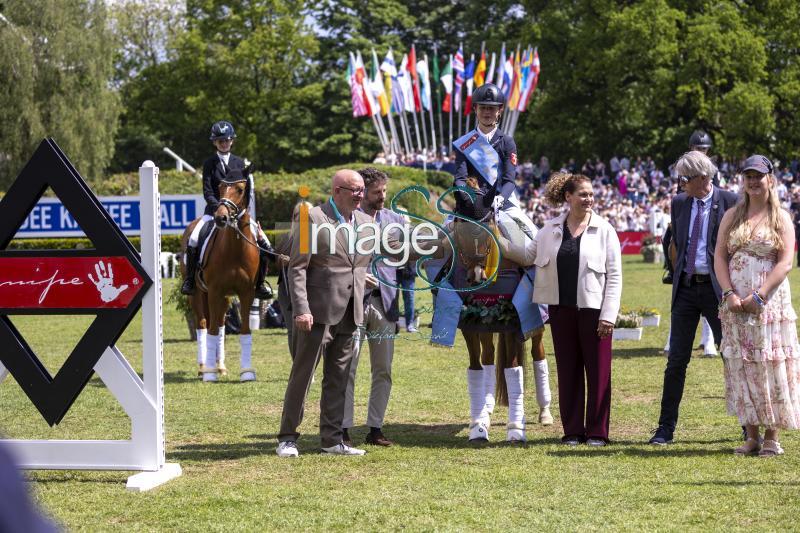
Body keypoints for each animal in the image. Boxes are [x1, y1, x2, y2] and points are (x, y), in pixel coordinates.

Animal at [180, 168, 258, 380]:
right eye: (221, 187)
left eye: (240, 189)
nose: (220, 218)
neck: (235, 248)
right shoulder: (214, 291)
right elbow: (212, 330)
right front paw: (209, 375)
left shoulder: (246, 292)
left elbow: (244, 329)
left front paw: (247, 372)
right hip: (198, 293)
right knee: (203, 324)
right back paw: (203, 367)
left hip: (225, 297)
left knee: (221, 324)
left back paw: (220, 366)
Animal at [450, 179, 552, 440]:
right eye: (459, 229)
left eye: (488, 228)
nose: (476, 275)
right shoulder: (469, 323)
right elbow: (476, 367)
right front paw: (478, 425)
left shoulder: (514, 322)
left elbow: (513, 368)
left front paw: (515, 428)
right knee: (488, 357)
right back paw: (486, 408)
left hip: (534, 325)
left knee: (538, 355)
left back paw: (545, 412)